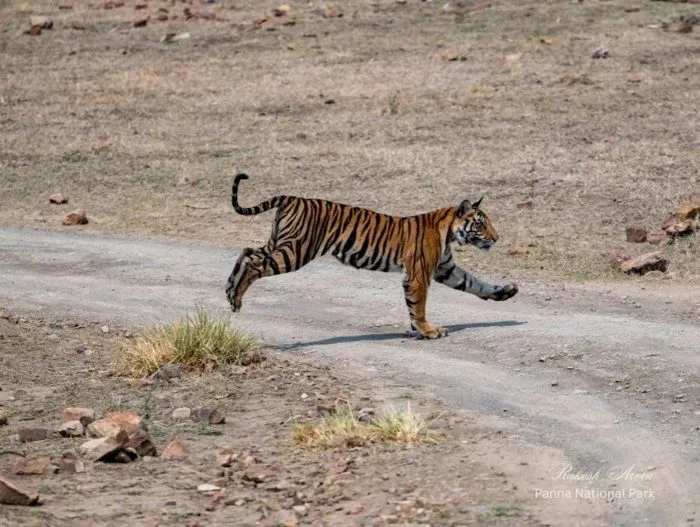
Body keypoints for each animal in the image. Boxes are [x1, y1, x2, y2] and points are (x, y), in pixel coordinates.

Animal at [226, 173, 518, 339]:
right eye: (480, 224)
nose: (496, 238)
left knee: (247, 252)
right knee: (254, 263)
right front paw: (427, 331)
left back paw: (230, 291)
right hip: (296, 250)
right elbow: (419, 305)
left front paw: (505, 291)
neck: (447, 231)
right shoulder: (419, 274)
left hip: (279, 243)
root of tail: (291, 197)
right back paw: (236, 299)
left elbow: (474, 282)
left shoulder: (445, 268)